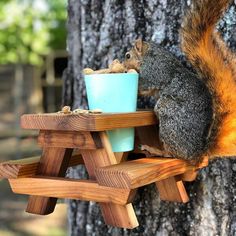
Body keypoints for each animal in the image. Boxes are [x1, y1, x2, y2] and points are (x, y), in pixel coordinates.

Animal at [123, 0, 236, 162]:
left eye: (127, 56)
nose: (123, 65)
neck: (148, 56)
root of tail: (198, 153)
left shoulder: (153, 72)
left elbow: (143, 86)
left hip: (169, 114)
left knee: (173, 154)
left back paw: (156, 150)